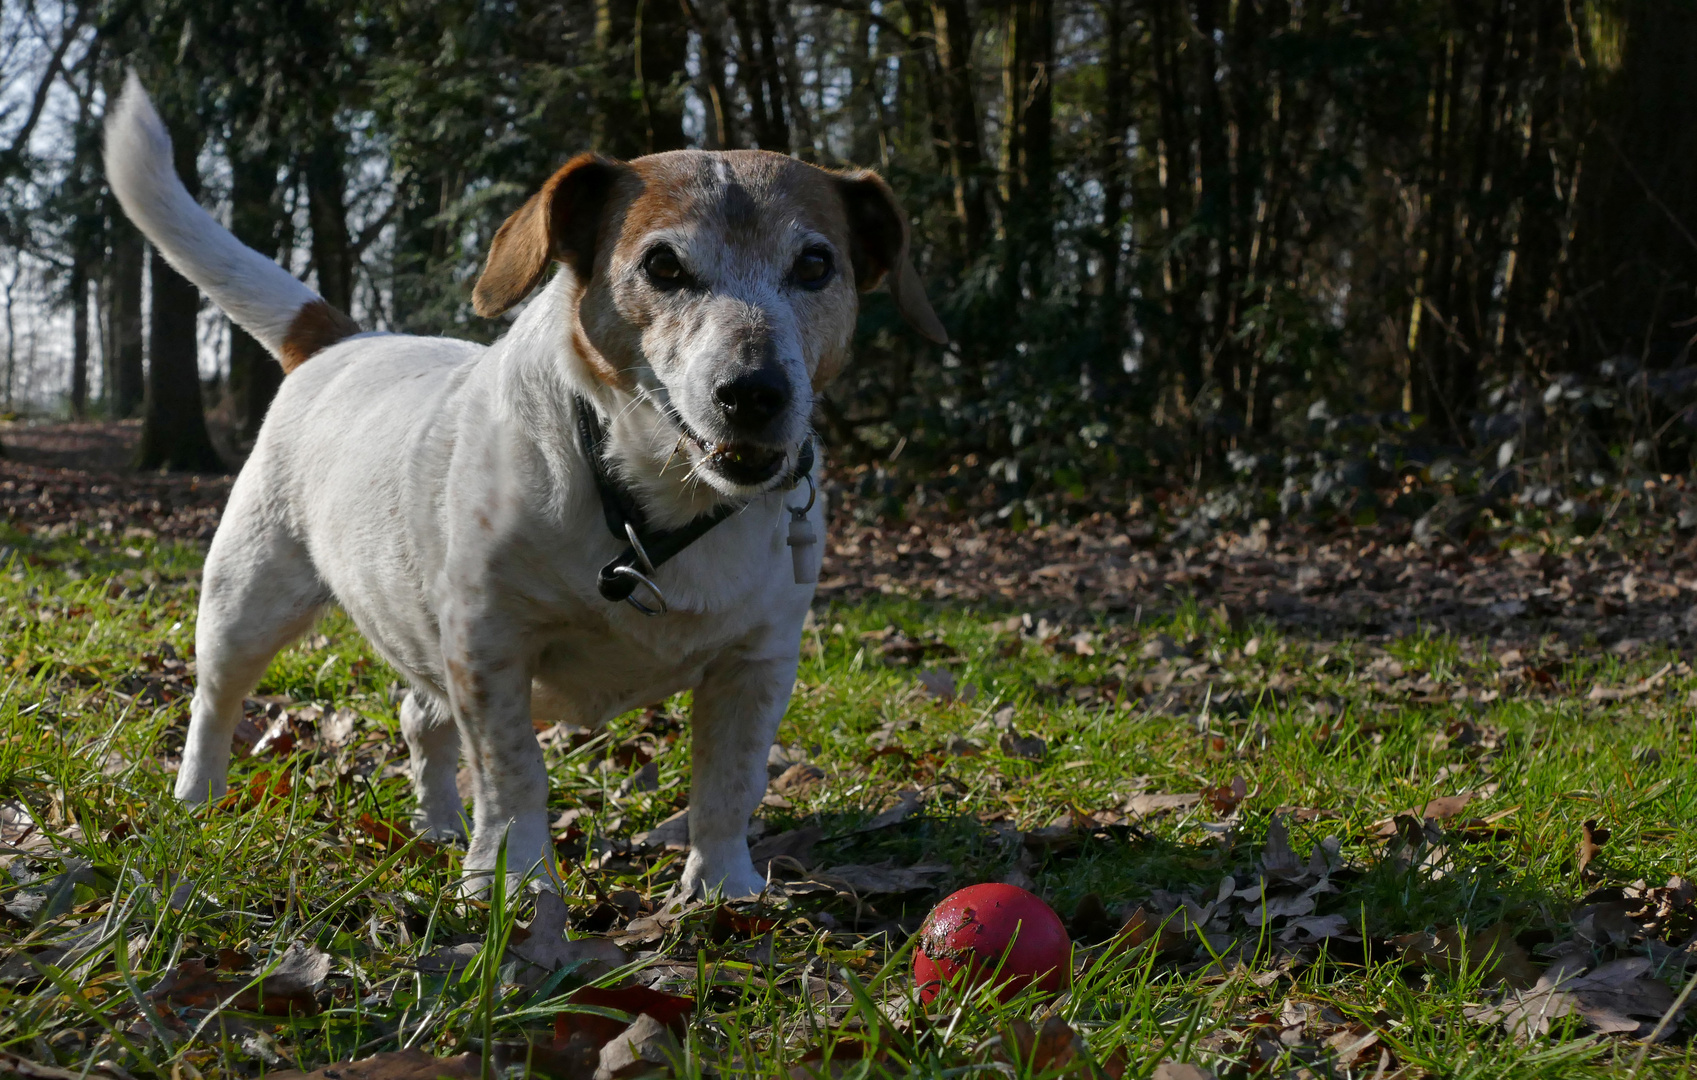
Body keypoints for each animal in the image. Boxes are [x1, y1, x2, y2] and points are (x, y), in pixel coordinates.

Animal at [104, 73, 950, 896]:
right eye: (663, 266)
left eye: (814, 265)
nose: (754, 393)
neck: (650, 503)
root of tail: (340, 341)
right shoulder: (489, 646)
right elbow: (514, 776)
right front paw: (512, 881)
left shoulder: (758, 661)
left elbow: (728, 784)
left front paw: (723, 891)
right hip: (248, 599)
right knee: (215, 701)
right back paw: (198, 797)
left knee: (419, 719)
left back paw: (438, 824)